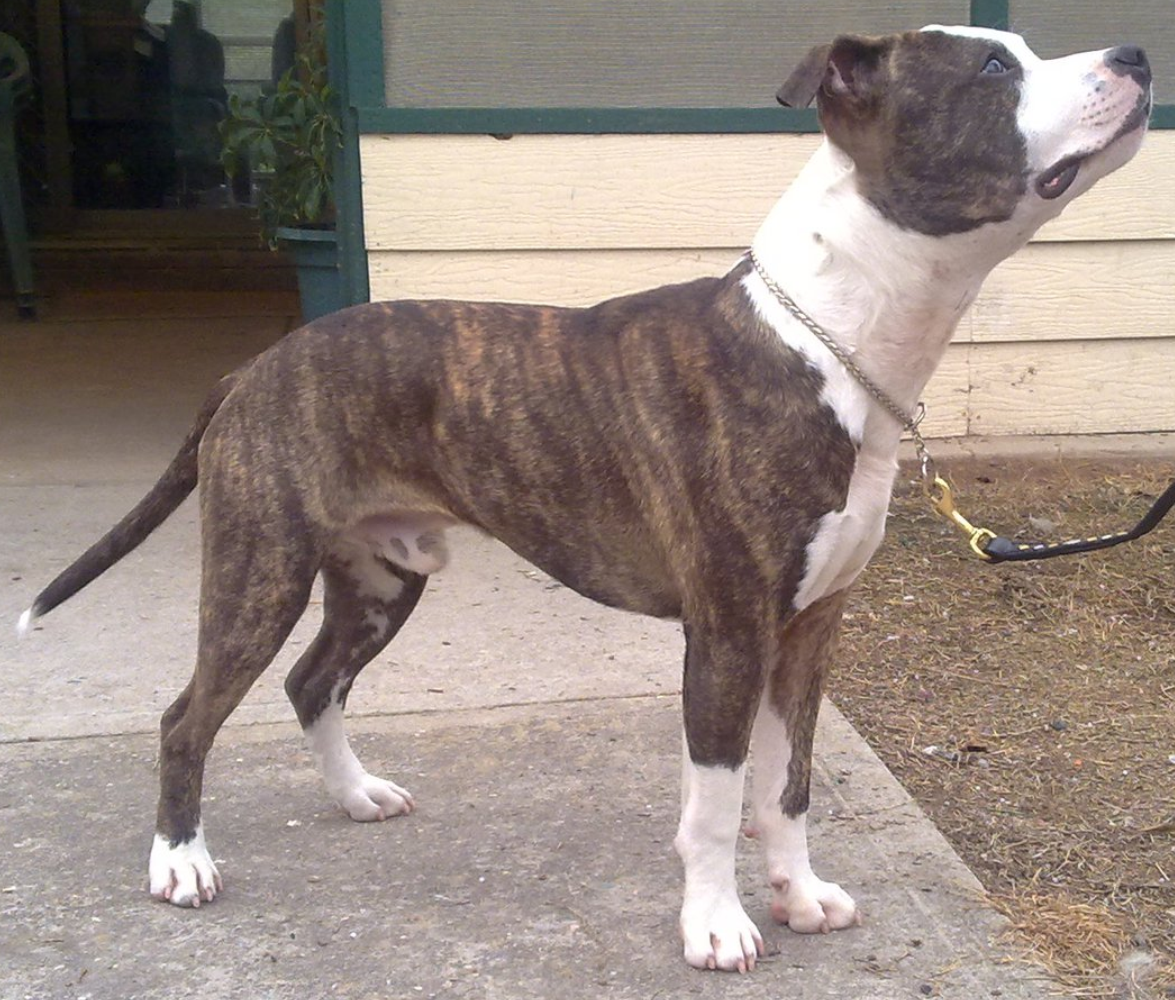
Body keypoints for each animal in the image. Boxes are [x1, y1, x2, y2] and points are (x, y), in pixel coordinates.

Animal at [18, 26, 1150, 973]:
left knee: (311, 683)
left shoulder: (808, 628)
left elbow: (785, 785)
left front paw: (797, 893)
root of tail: (254, 366)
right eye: (993, 67)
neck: (830, 340)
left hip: (381, 577)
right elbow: (717, 797)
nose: (1136, 53)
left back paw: (355, 794)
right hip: (261, 570)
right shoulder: (727, 629)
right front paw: (715, 924)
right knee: (187, 715)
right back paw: (179, 861)